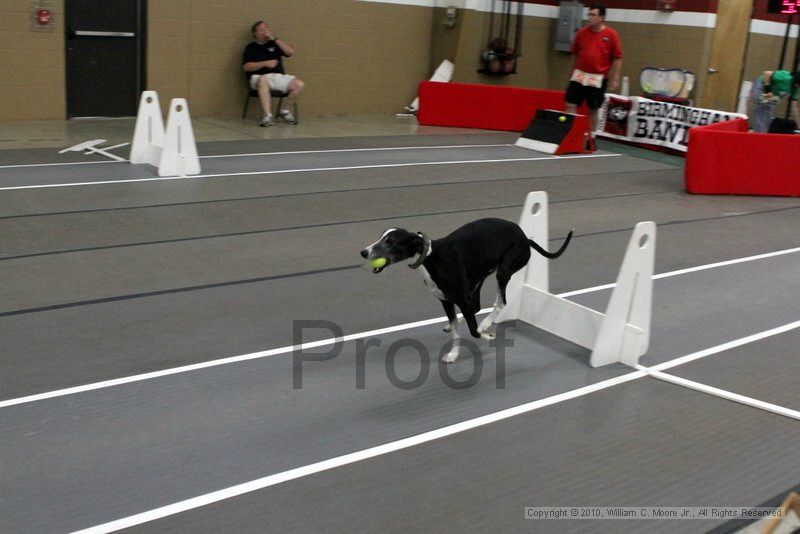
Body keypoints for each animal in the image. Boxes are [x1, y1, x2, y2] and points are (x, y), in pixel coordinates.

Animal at [360, 218, 572, 364]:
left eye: (390, 241)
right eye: (381, 236)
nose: (364, 252)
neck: (431, 257)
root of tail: (526, 238)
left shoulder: (460, 299)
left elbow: (473, 331)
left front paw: (486, 334)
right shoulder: (446, 301)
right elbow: (457, 331)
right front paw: (453, 354)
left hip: (503, 271)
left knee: (501, 302)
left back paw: (486, 324)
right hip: (480, 278)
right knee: (477, 307)